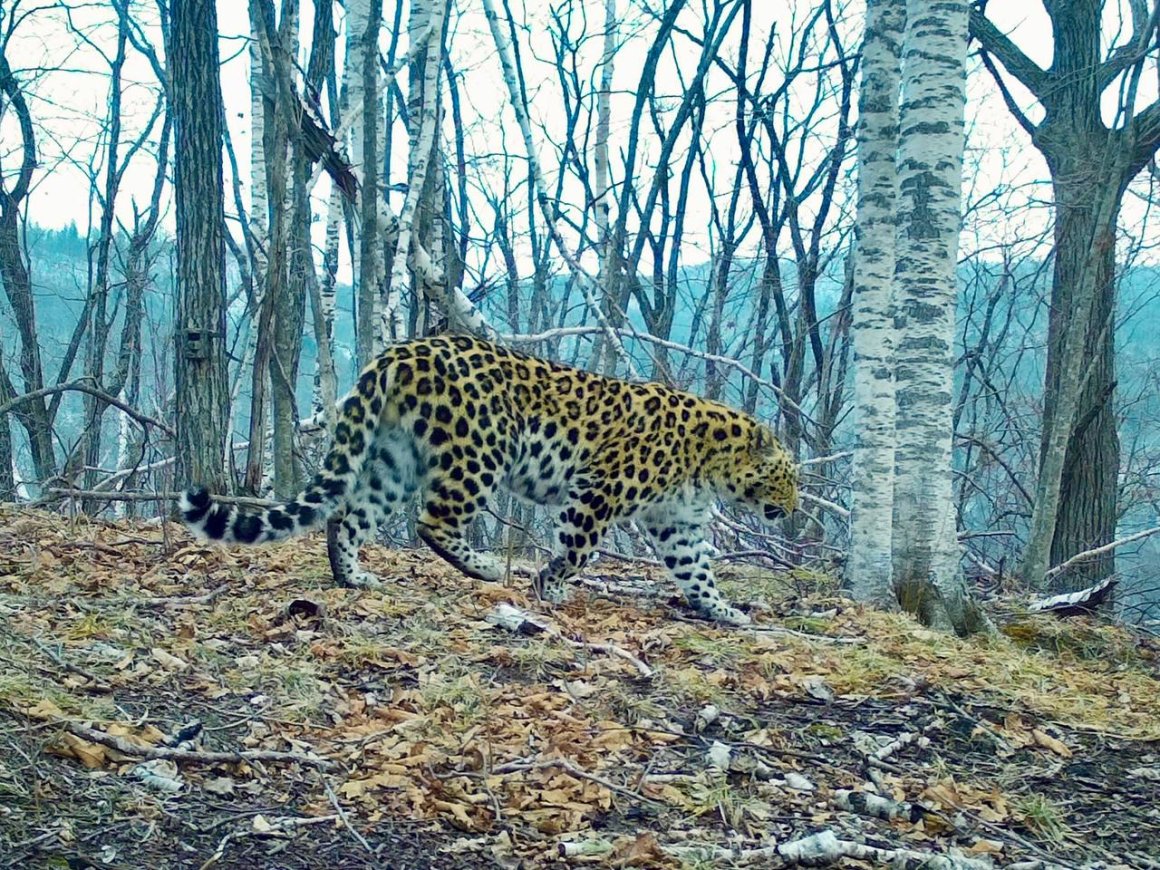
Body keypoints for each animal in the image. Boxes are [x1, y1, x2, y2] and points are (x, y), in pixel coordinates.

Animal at [178, 334, 798, 626]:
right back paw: (488, 568)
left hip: (394, 459)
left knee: (349, 517)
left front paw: (724, 612)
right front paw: (550, 586)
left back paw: (354, 578)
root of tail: (403, 350)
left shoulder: (677, 524)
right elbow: (577, 550)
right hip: (481, 450)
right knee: (432, 520)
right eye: (788, 476)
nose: (791, 509)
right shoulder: (596, 493)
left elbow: (698, 572)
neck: (712, 464)